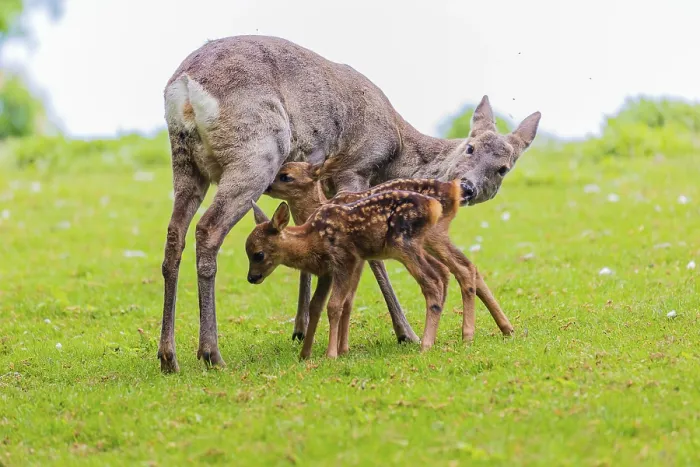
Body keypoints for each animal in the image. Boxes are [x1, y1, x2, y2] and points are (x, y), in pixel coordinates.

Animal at [264, 162, 514, 343]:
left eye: (285, 175)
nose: (266, 186)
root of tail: (453, 191)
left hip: (429, 236)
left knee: (460, 269)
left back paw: (465, 335)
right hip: (431, 239)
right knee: (467, 267)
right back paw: (506, 328)